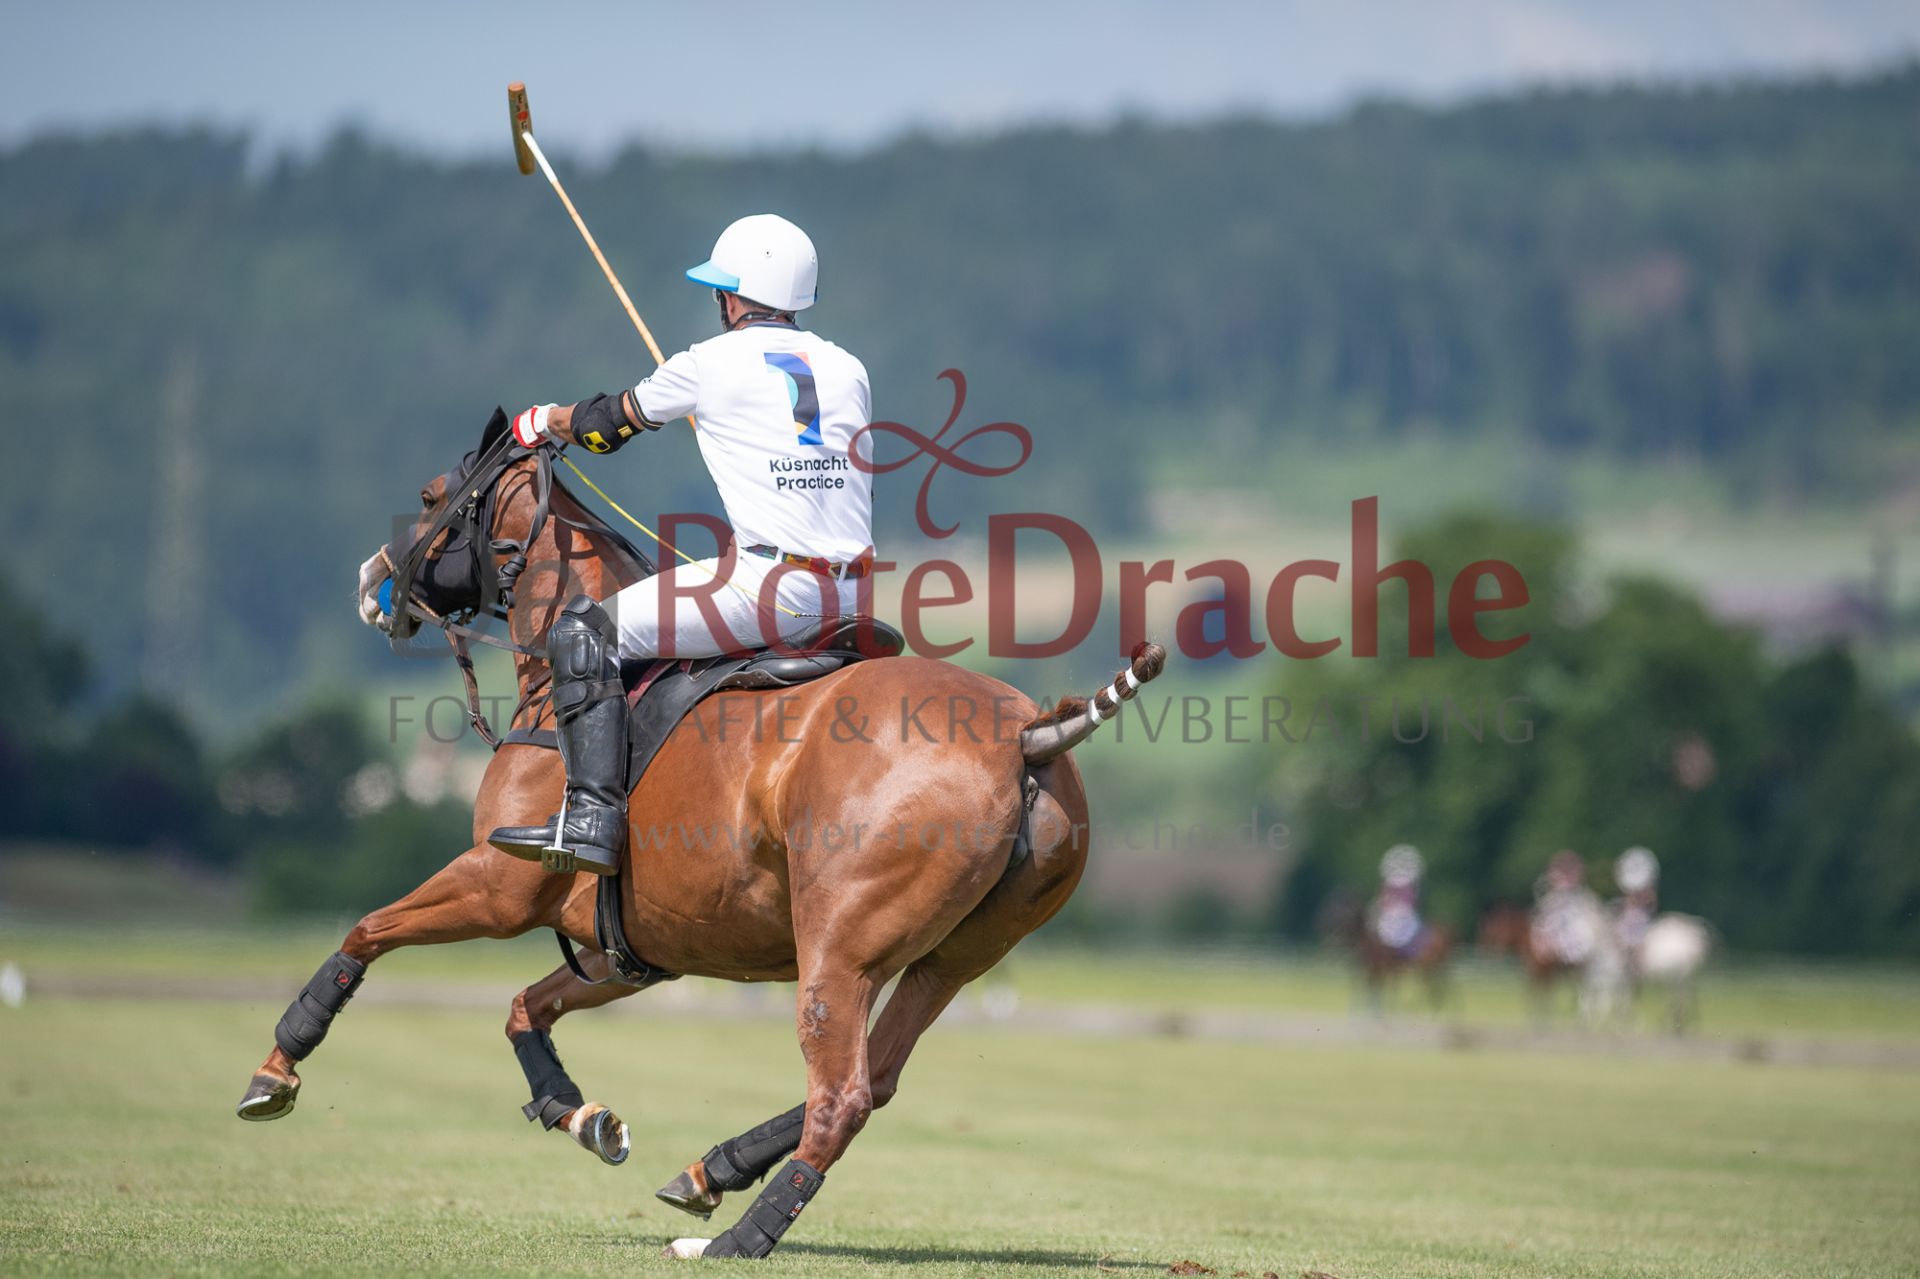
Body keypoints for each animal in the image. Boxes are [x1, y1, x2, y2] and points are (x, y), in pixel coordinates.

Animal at [231, 413, 1167, 1258]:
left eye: (430, 497)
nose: (370, 580)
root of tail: (1028, 734)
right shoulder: (632, 943)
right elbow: (525, 1005)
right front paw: (583, 1115)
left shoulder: (500, 885)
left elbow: (367, 930)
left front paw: (276, 1070)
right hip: (957, 955)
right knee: (880, 1074)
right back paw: (708, 1172)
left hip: (839, 947)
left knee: (844, 1093)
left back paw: (739, 1236)